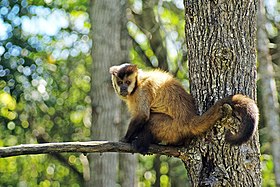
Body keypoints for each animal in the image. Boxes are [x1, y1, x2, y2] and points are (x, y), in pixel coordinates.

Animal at [109, 63, 258, 153]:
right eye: (120, 82)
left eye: (127, 82)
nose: (123, 88)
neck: (138, 84)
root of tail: (189, 119)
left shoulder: (142, 91)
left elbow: (143, 116)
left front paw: (125, 139)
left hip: (172, 128)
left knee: (152, 120)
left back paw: (142, 144)